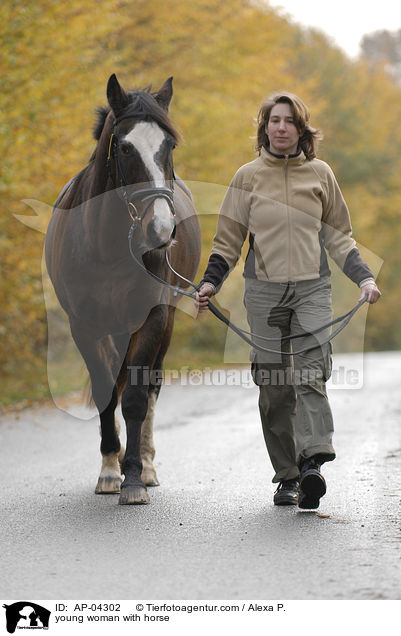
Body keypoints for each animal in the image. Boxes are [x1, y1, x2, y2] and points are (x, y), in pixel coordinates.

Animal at [45, 73, 200, 502]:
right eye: (126, 147)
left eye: (169, 146)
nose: (161, 230)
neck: (107, 244)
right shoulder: (84, 326)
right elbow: (105, 391)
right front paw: (110, 471)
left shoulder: (152, 319)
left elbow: (133, 397)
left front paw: (132, 477)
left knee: (150, 388)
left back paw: (146, 465)